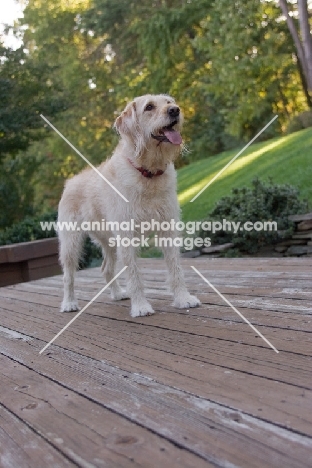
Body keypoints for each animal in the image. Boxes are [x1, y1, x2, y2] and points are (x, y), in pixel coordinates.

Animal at [57, 93, 201, 316]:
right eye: (149, 107)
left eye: (169, 102)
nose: (175, 110)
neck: (148, 173)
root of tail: (70, 182)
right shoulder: (126, 236)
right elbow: (134, 274)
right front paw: (141, 306)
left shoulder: (168, 228)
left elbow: (175, 267)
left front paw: (183, 298)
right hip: (70, 243)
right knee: (68, 275)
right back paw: (69, 303)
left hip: (108, 241)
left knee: (106, 269)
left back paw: (117, 294)